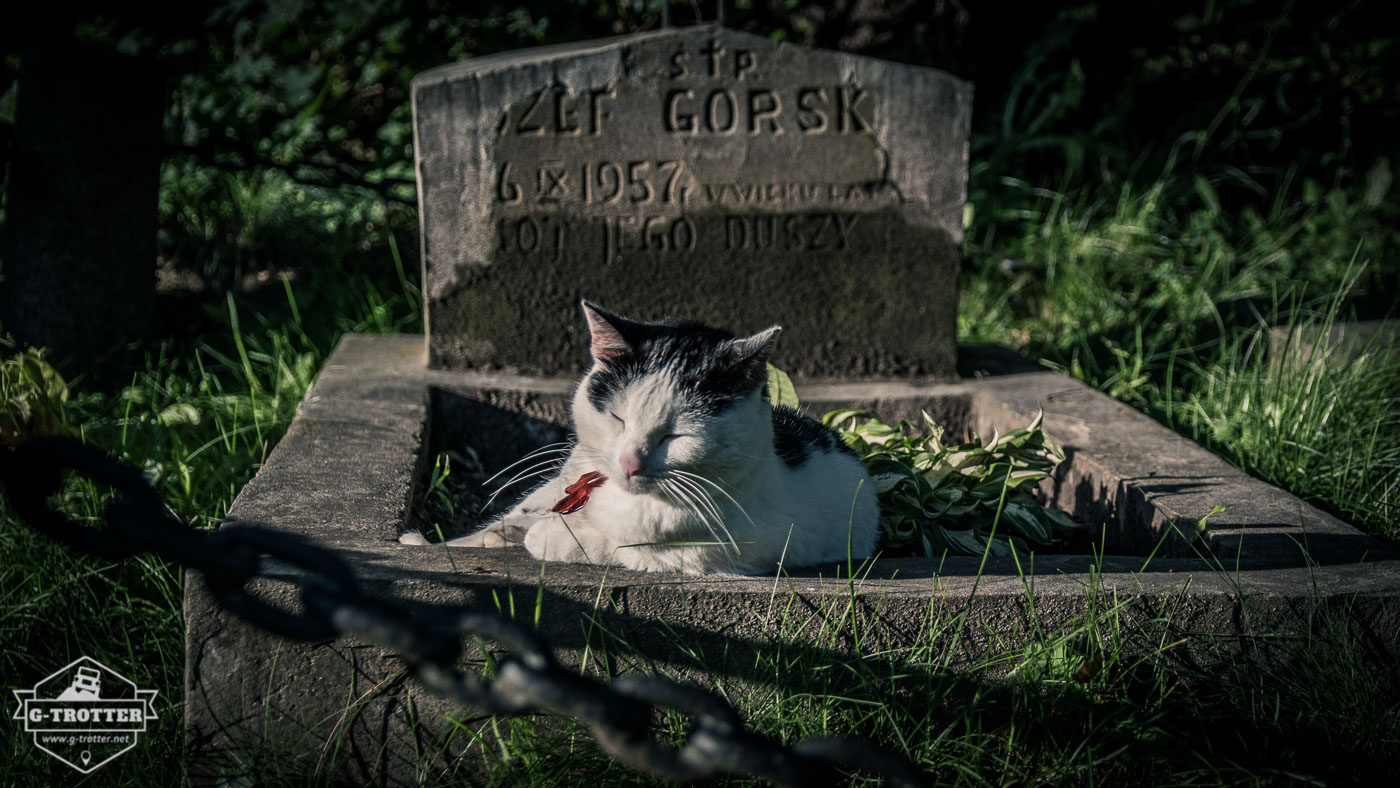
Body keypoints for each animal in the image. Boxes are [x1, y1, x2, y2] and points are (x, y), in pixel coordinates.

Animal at [400, 302, 873, 573]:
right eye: (618, 418)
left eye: (675, 435)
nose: (630, 462)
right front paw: (435, 542)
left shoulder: (705, 552)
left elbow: (608, 546)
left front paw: (548, 537)